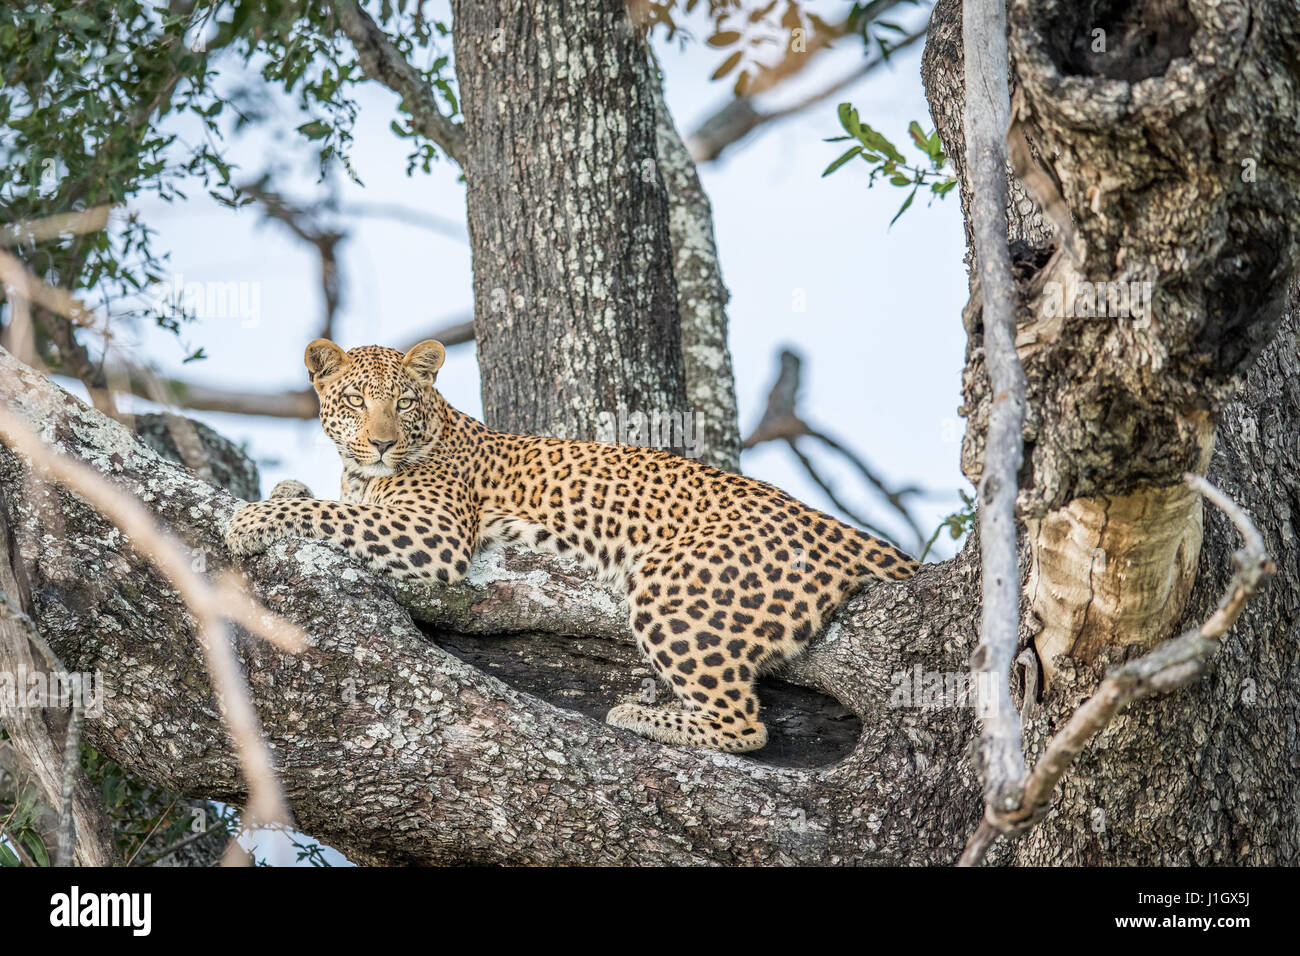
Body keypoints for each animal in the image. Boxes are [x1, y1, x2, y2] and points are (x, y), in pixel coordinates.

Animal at [224, 339, 919, 753]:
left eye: (403, 400)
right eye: (354, 400)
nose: (382, 443)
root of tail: (840, 530)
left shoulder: (433, 532)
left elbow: (328, 513)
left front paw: (252, 519)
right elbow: (329, 500)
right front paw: (285, 489)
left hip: (670, 582)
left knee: (745, 726)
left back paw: (637, 716)